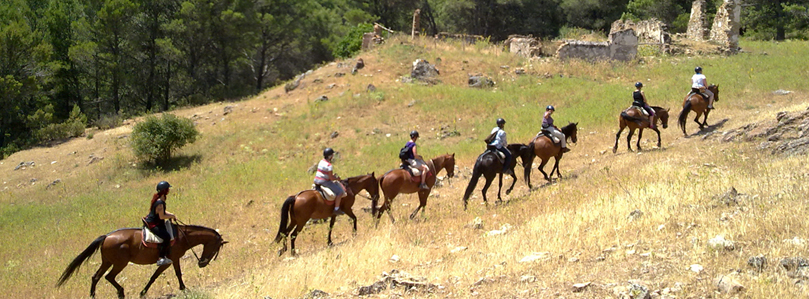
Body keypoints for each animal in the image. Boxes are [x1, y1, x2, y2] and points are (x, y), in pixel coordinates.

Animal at [56, 226, 226, 298]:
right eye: (215, 248)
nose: (202, 263)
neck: (182, 236)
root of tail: (106, 237)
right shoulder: (168, 261)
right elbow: (157, 276)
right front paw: (143, 292)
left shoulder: (174, 260)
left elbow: (176, 274)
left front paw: (183, 288)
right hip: (119, 264)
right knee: (108, 277)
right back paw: (121, 292)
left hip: (107, 262)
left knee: (96, 277)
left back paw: (94, 295)